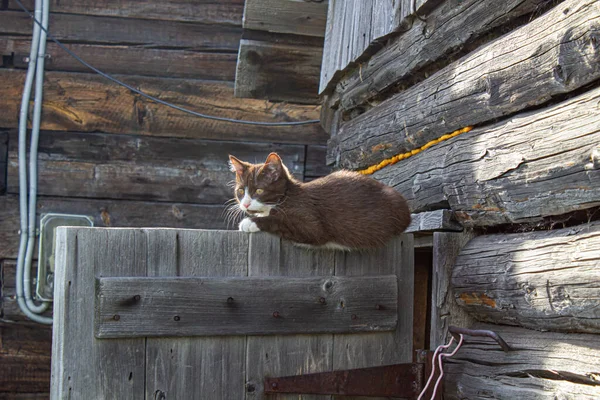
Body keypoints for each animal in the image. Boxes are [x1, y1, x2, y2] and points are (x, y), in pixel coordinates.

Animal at [227, 153, 410, 250]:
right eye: (241, 191)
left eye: (259, 190)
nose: (245, 204)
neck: (285, 197)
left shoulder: (310, 219)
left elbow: (284, 221)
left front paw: (250, 222)